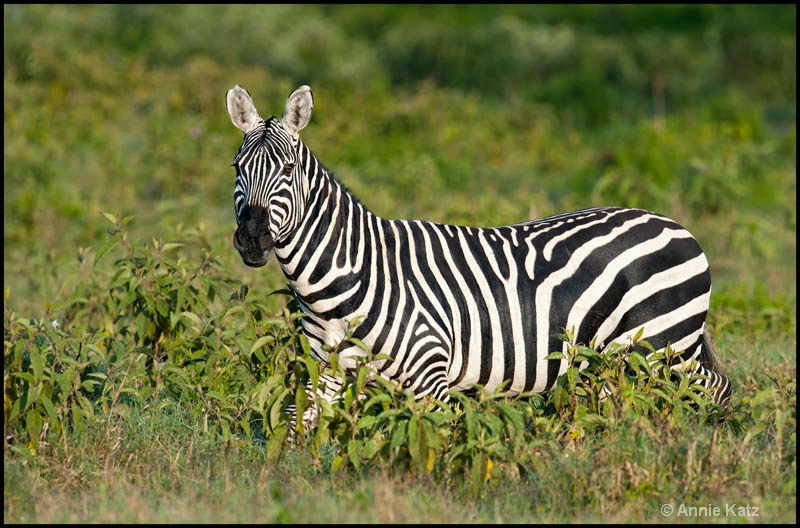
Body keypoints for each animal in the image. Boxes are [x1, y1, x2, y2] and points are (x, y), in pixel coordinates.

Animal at [223, 83, 732, 428]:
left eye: (288, 168)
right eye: (236, 167)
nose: (252, 238)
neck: (342, 283)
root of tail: (676, 224)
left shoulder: (430, 376)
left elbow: (433, 445)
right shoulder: (325, 370)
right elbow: (299, 427)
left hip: (663, 347)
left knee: (711, 390)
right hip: (625, 359)